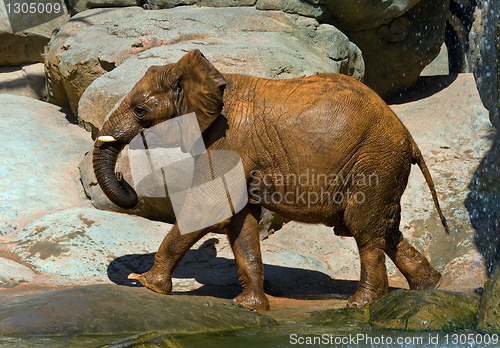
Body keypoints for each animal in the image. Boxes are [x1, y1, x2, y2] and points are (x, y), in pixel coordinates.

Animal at [94, 49, 450, 310]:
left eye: (140, 111)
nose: (125, 179)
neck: (207, 78)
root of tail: (409, 138)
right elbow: (240, 223)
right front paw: (249, 306)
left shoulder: (227, 141)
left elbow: (208, 208)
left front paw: (145, 283)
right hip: (383, 167)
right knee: (386, 230)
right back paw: (429, 286)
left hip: (374, 161)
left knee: (364, 228)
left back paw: (360, 304)